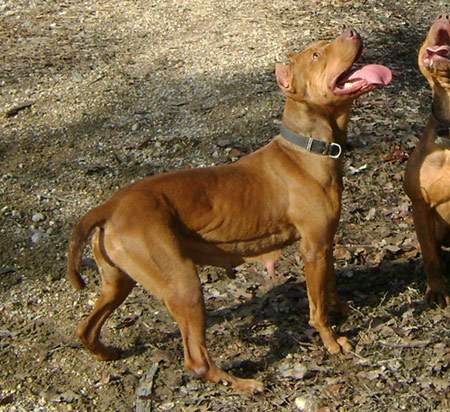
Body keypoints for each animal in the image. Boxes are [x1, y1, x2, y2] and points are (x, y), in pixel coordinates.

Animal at [66, 29, 390, 392]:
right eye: (317, 55)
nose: (352, 31)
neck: (306, 149)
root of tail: (109, 205)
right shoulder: (313, 248)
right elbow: (316, 307)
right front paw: (331, 341)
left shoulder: (326, 245)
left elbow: (331, 287)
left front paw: (343, 311)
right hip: (184, 283)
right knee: (196, 359)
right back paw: (242, 383)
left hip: (118, 283)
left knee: (86, 329)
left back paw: (107, 353)